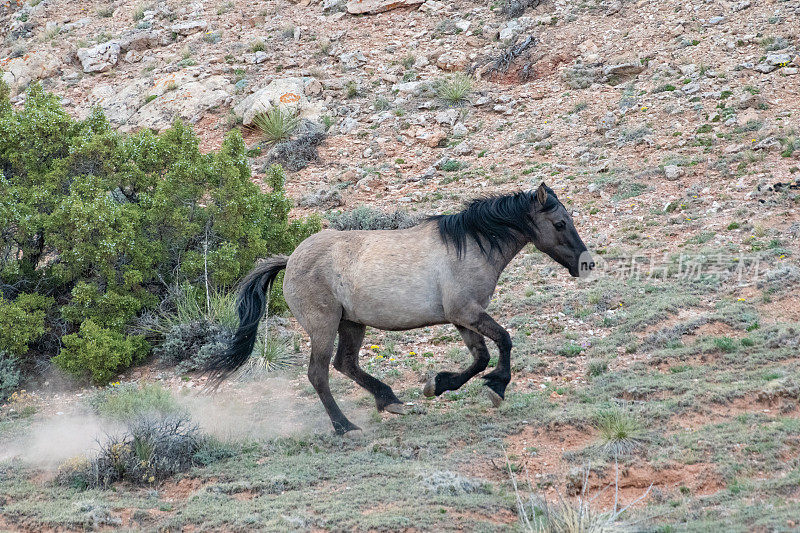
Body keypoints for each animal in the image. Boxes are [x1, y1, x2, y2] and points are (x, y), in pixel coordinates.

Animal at [206, 183, 592, 432]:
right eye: (560, 223)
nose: (585, 264)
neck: (470, 246)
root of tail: (290, 260)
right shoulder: (467, 313)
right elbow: (505, 341)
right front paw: (496, 388)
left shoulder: (463, 319)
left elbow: (480, 357)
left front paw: (438, 385)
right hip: (324, 326)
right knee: (319, 374)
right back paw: (345, 426)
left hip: (352, 324)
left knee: (346, 364)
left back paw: (389, 400)